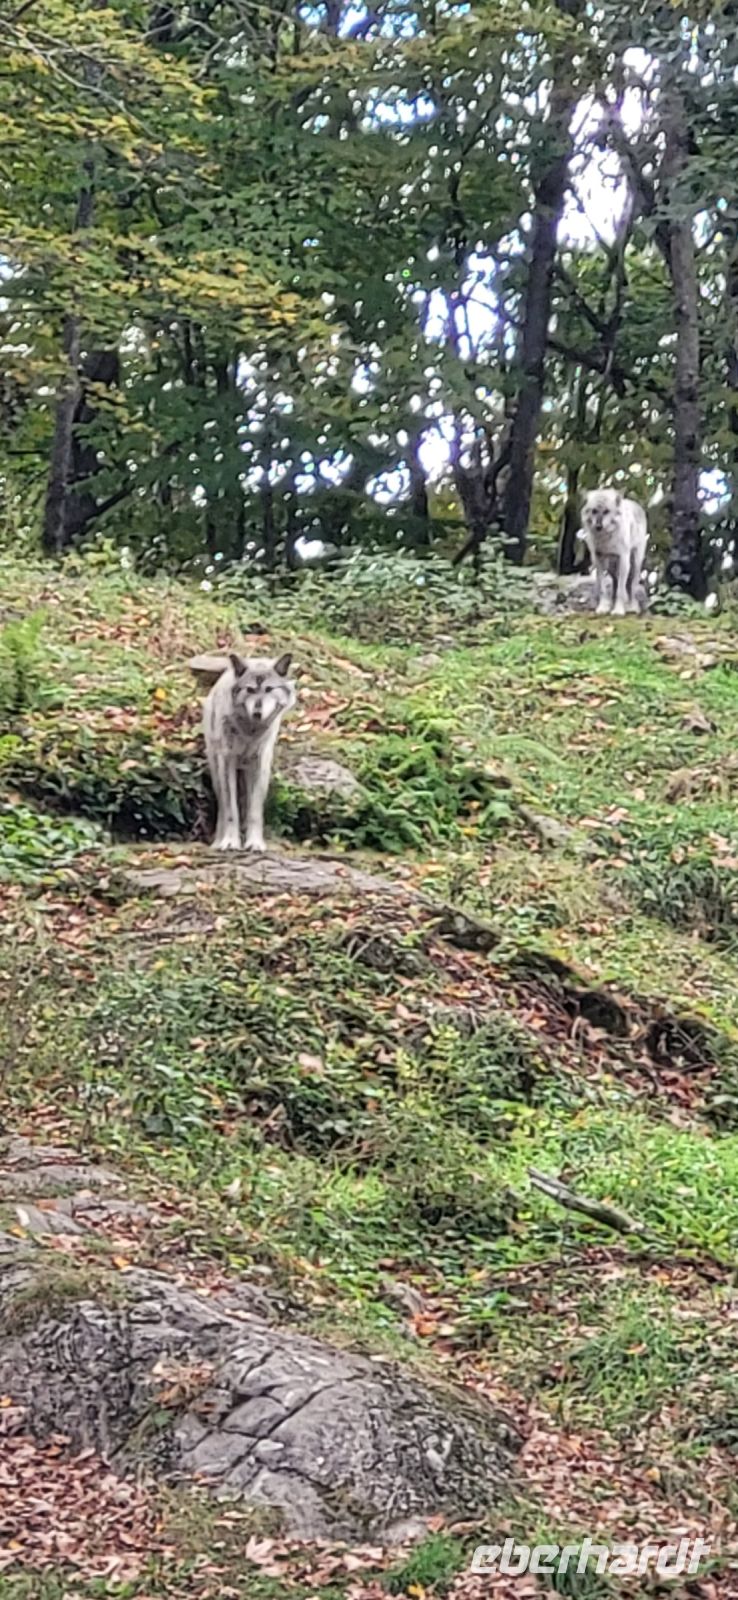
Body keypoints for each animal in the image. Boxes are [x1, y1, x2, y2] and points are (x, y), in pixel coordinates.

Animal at [204, 652, 296, 851]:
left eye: (269, 689)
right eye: (250, 690)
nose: (257, 713)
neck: (250, 731)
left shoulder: (260, 764)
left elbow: (254, 812)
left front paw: (255, 843)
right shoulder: (227, 761)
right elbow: (231, 810)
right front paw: (230, 842)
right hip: (217, 770)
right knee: (222, 806)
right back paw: (218, 842)